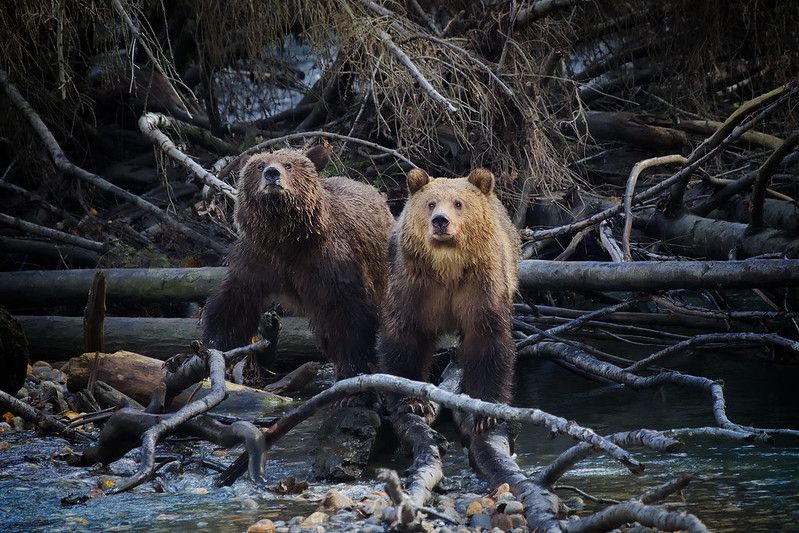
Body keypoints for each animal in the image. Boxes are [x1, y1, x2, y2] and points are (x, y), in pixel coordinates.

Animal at [202, 145, 394, 388]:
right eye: (259, 165)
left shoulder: (329, 263)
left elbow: (349, 317)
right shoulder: (259, 259)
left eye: (288, 164)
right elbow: (234, 303)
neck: (287, 236)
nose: (272, 173)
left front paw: (354, 367)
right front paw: (213, 346)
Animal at [377, 167, 520, 433]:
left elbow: (486, 338)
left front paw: (486, 412)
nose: (440, 221)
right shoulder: (413, 284)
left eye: (458, 203)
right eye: (431, 203)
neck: (447, 266)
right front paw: (412, 401)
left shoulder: (480, 285)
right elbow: (405, 337)